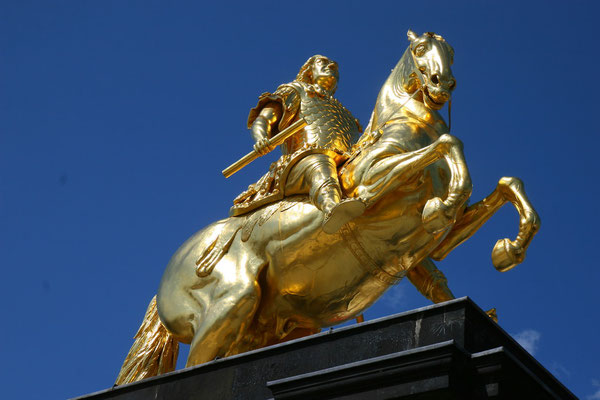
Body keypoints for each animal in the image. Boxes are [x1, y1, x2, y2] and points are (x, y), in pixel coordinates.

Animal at [115, 30, 536, 384]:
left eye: (451, 52)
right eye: (420, 49)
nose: (441, 84)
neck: (405, 125)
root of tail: (171, 270)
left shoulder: (433, 248)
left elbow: (505, 185)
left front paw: (507, 250)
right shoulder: (372, 181)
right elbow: (449, 143)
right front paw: (443, 204)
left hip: (261, 329)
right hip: (229, 305)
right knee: (196, 365)